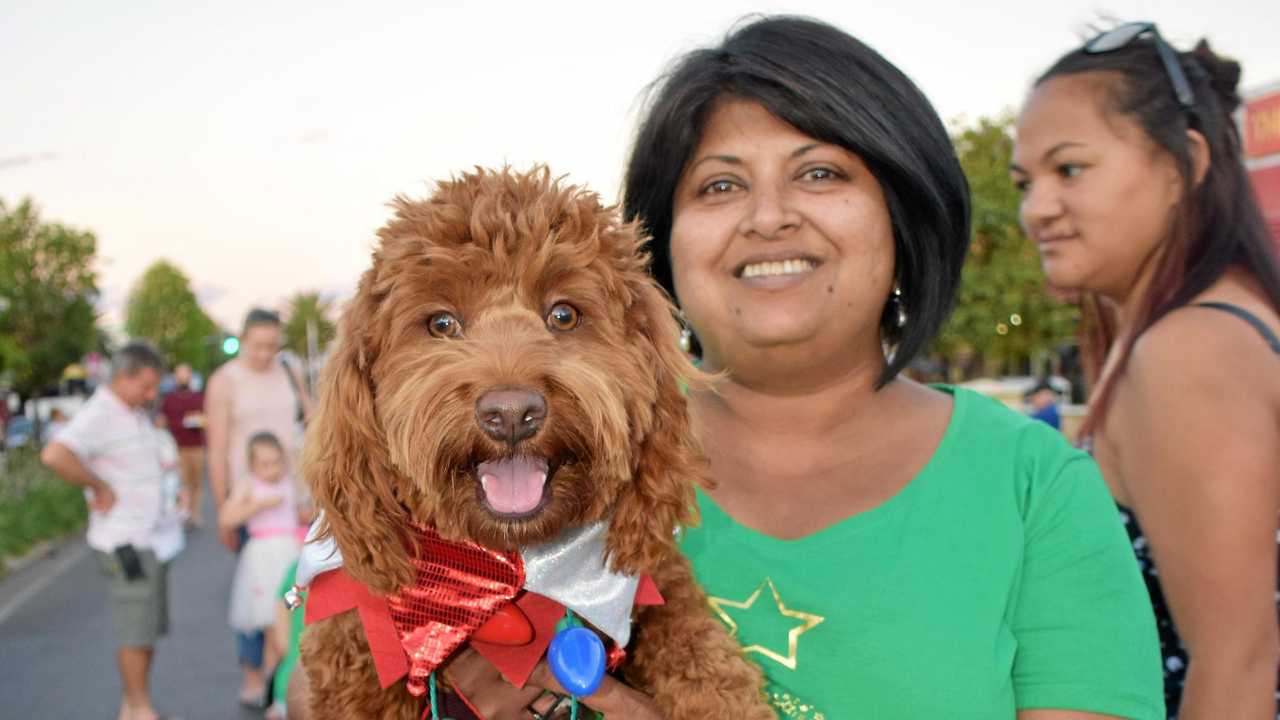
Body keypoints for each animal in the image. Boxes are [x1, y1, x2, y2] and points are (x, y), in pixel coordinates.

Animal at [299, 166, 768, 717]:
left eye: (563, 315)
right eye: (441, 323)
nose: (511, 415)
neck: (510, 572)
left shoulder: (658, 589)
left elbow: (702, 655)